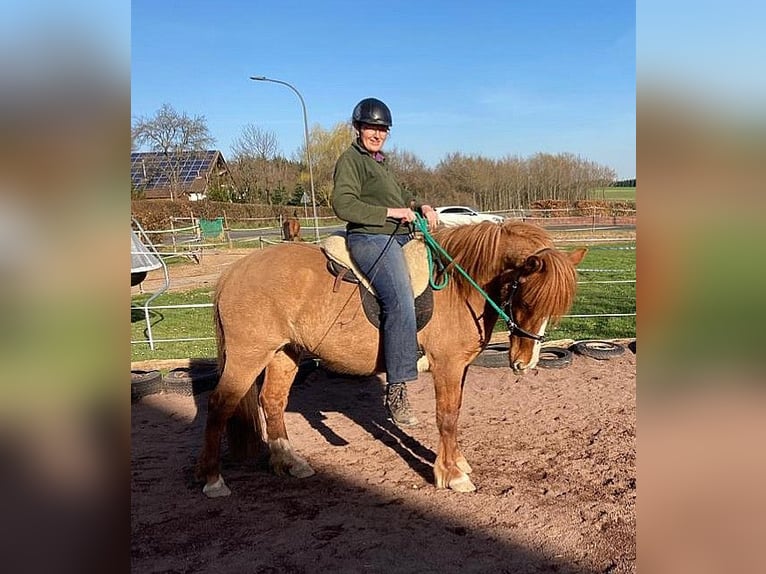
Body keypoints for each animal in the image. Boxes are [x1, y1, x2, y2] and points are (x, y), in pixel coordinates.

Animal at [197, 220, 586, 497]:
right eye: (526, 297)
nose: (525, 362)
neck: (459, 286)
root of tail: (231, 273)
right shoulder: (446, 365)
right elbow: (447, 417)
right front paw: (452, 475)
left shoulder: (460, 367)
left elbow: (456, 414)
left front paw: (457, 463)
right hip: (248, 356)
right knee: (219, 405)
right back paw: (213, 481)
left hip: (284, 354)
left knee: (272, 402)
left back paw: (289, 462)